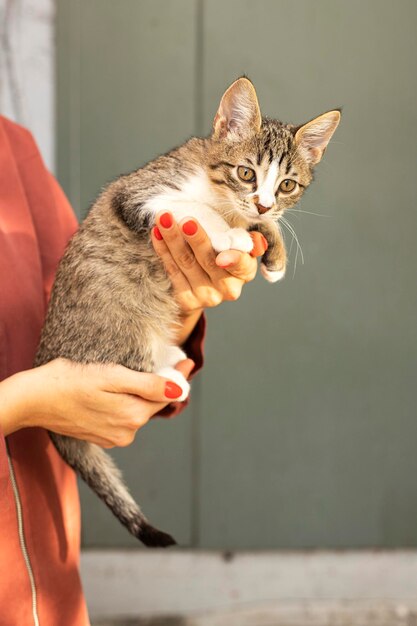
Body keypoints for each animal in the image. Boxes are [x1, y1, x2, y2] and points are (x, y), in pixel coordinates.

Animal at [35, 78, 342, 544]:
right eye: (246, 173)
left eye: (288, 185)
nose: (263, 203)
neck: (216, 187)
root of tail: (46, 351)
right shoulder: (136, 195)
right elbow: (193, 211)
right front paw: (230, 234)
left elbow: (254, 221)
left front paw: (272, 247)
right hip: (115, 324)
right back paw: (168, 375)